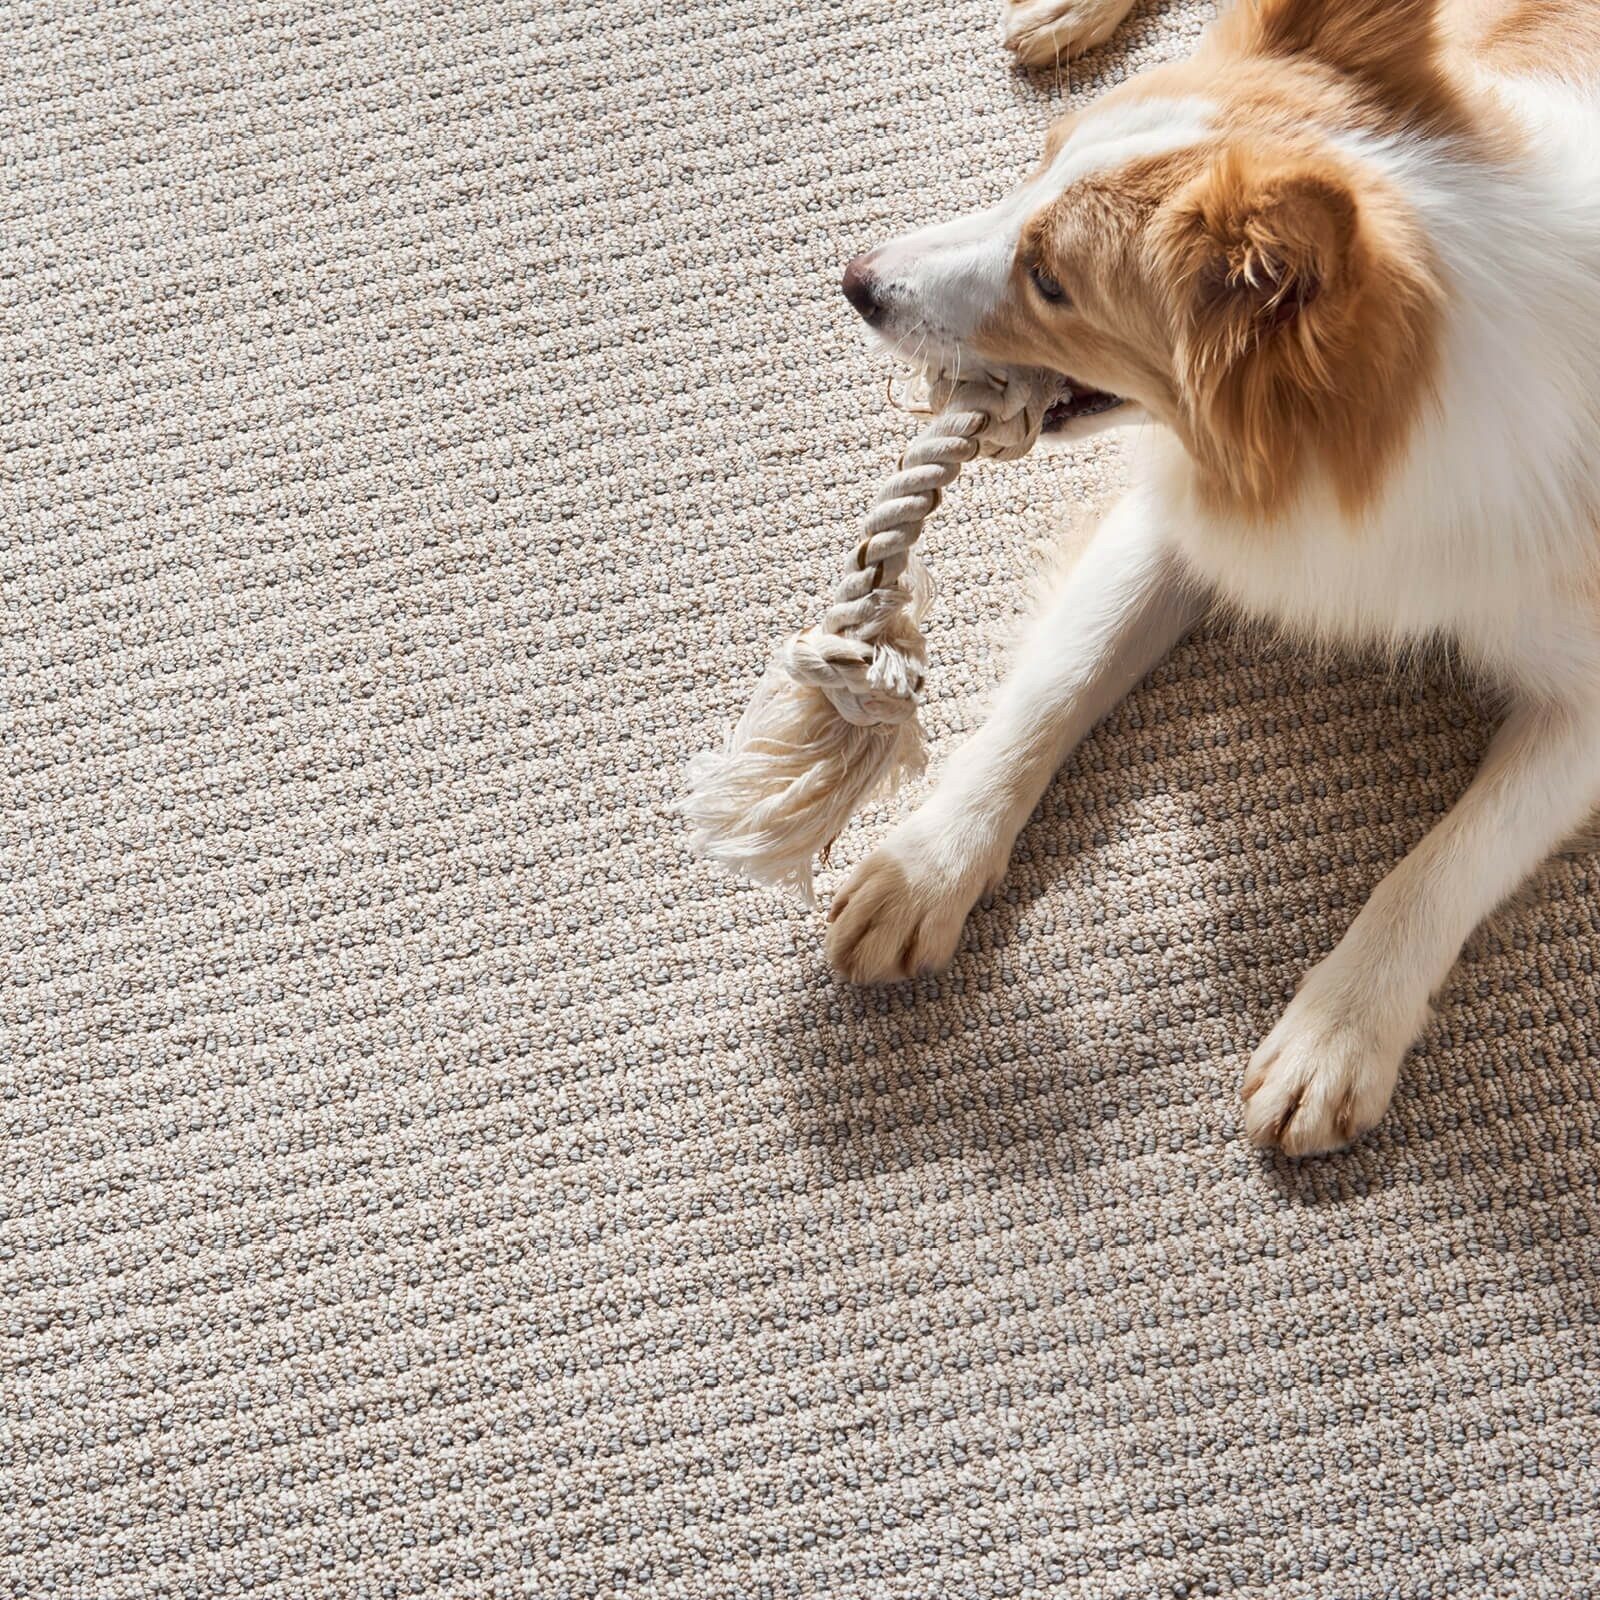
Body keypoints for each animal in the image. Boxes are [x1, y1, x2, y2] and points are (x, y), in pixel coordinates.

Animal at [825, 0, 1600, 1158]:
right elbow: (1056, 685)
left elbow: (1451, 856)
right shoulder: (1185, 518)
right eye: (1036, 164)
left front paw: (1336, 1034)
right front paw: (927, 867)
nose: (857, 279)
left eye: (1051, 282)